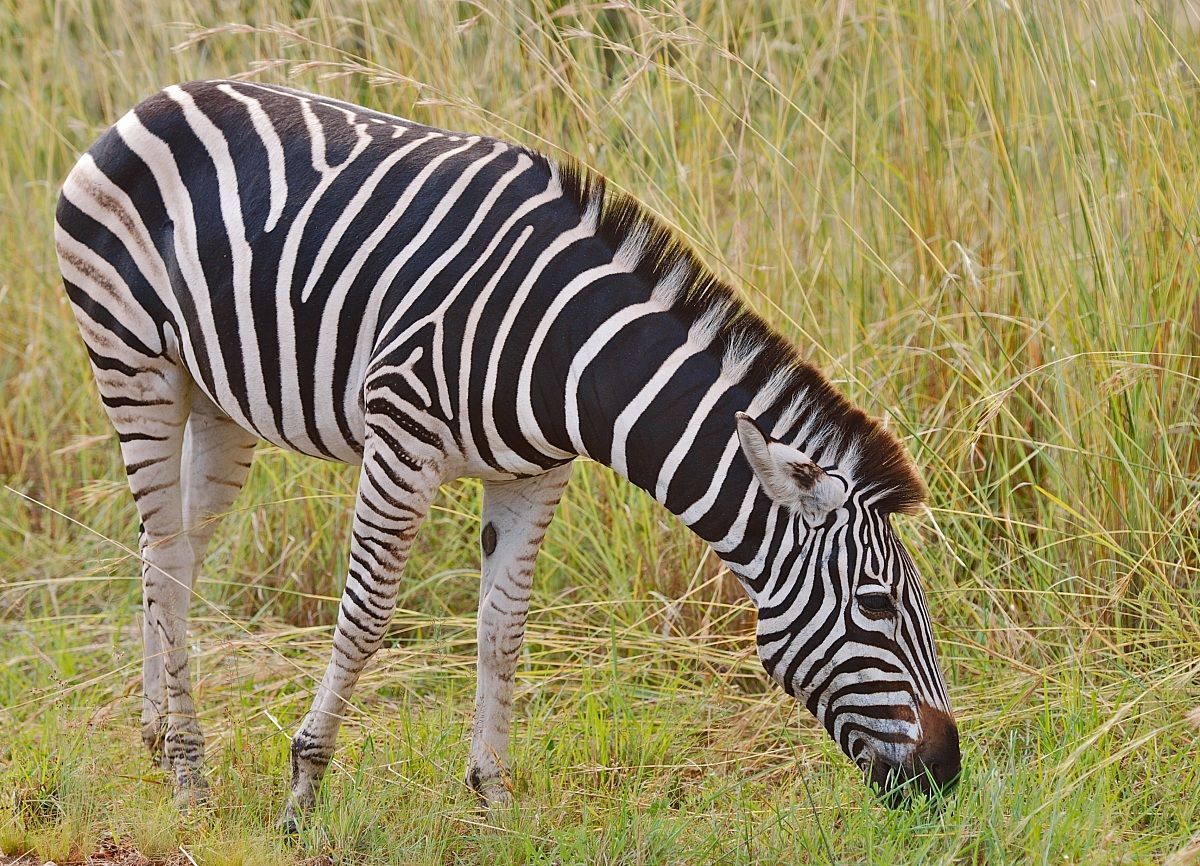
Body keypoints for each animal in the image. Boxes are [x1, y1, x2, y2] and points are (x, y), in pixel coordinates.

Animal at [55, 79, 960, 823]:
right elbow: (366, 616)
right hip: (133, 361)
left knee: (167, 552)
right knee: (168, 551)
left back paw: (155, 738)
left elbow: (503, 629)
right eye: (878, 606)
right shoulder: (403, 438)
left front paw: (492, 796)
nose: (947, 776)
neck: (573, 355)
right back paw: (189, 776)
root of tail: (154, 98)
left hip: (217, 401)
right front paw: (305, 788)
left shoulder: (535, 475)